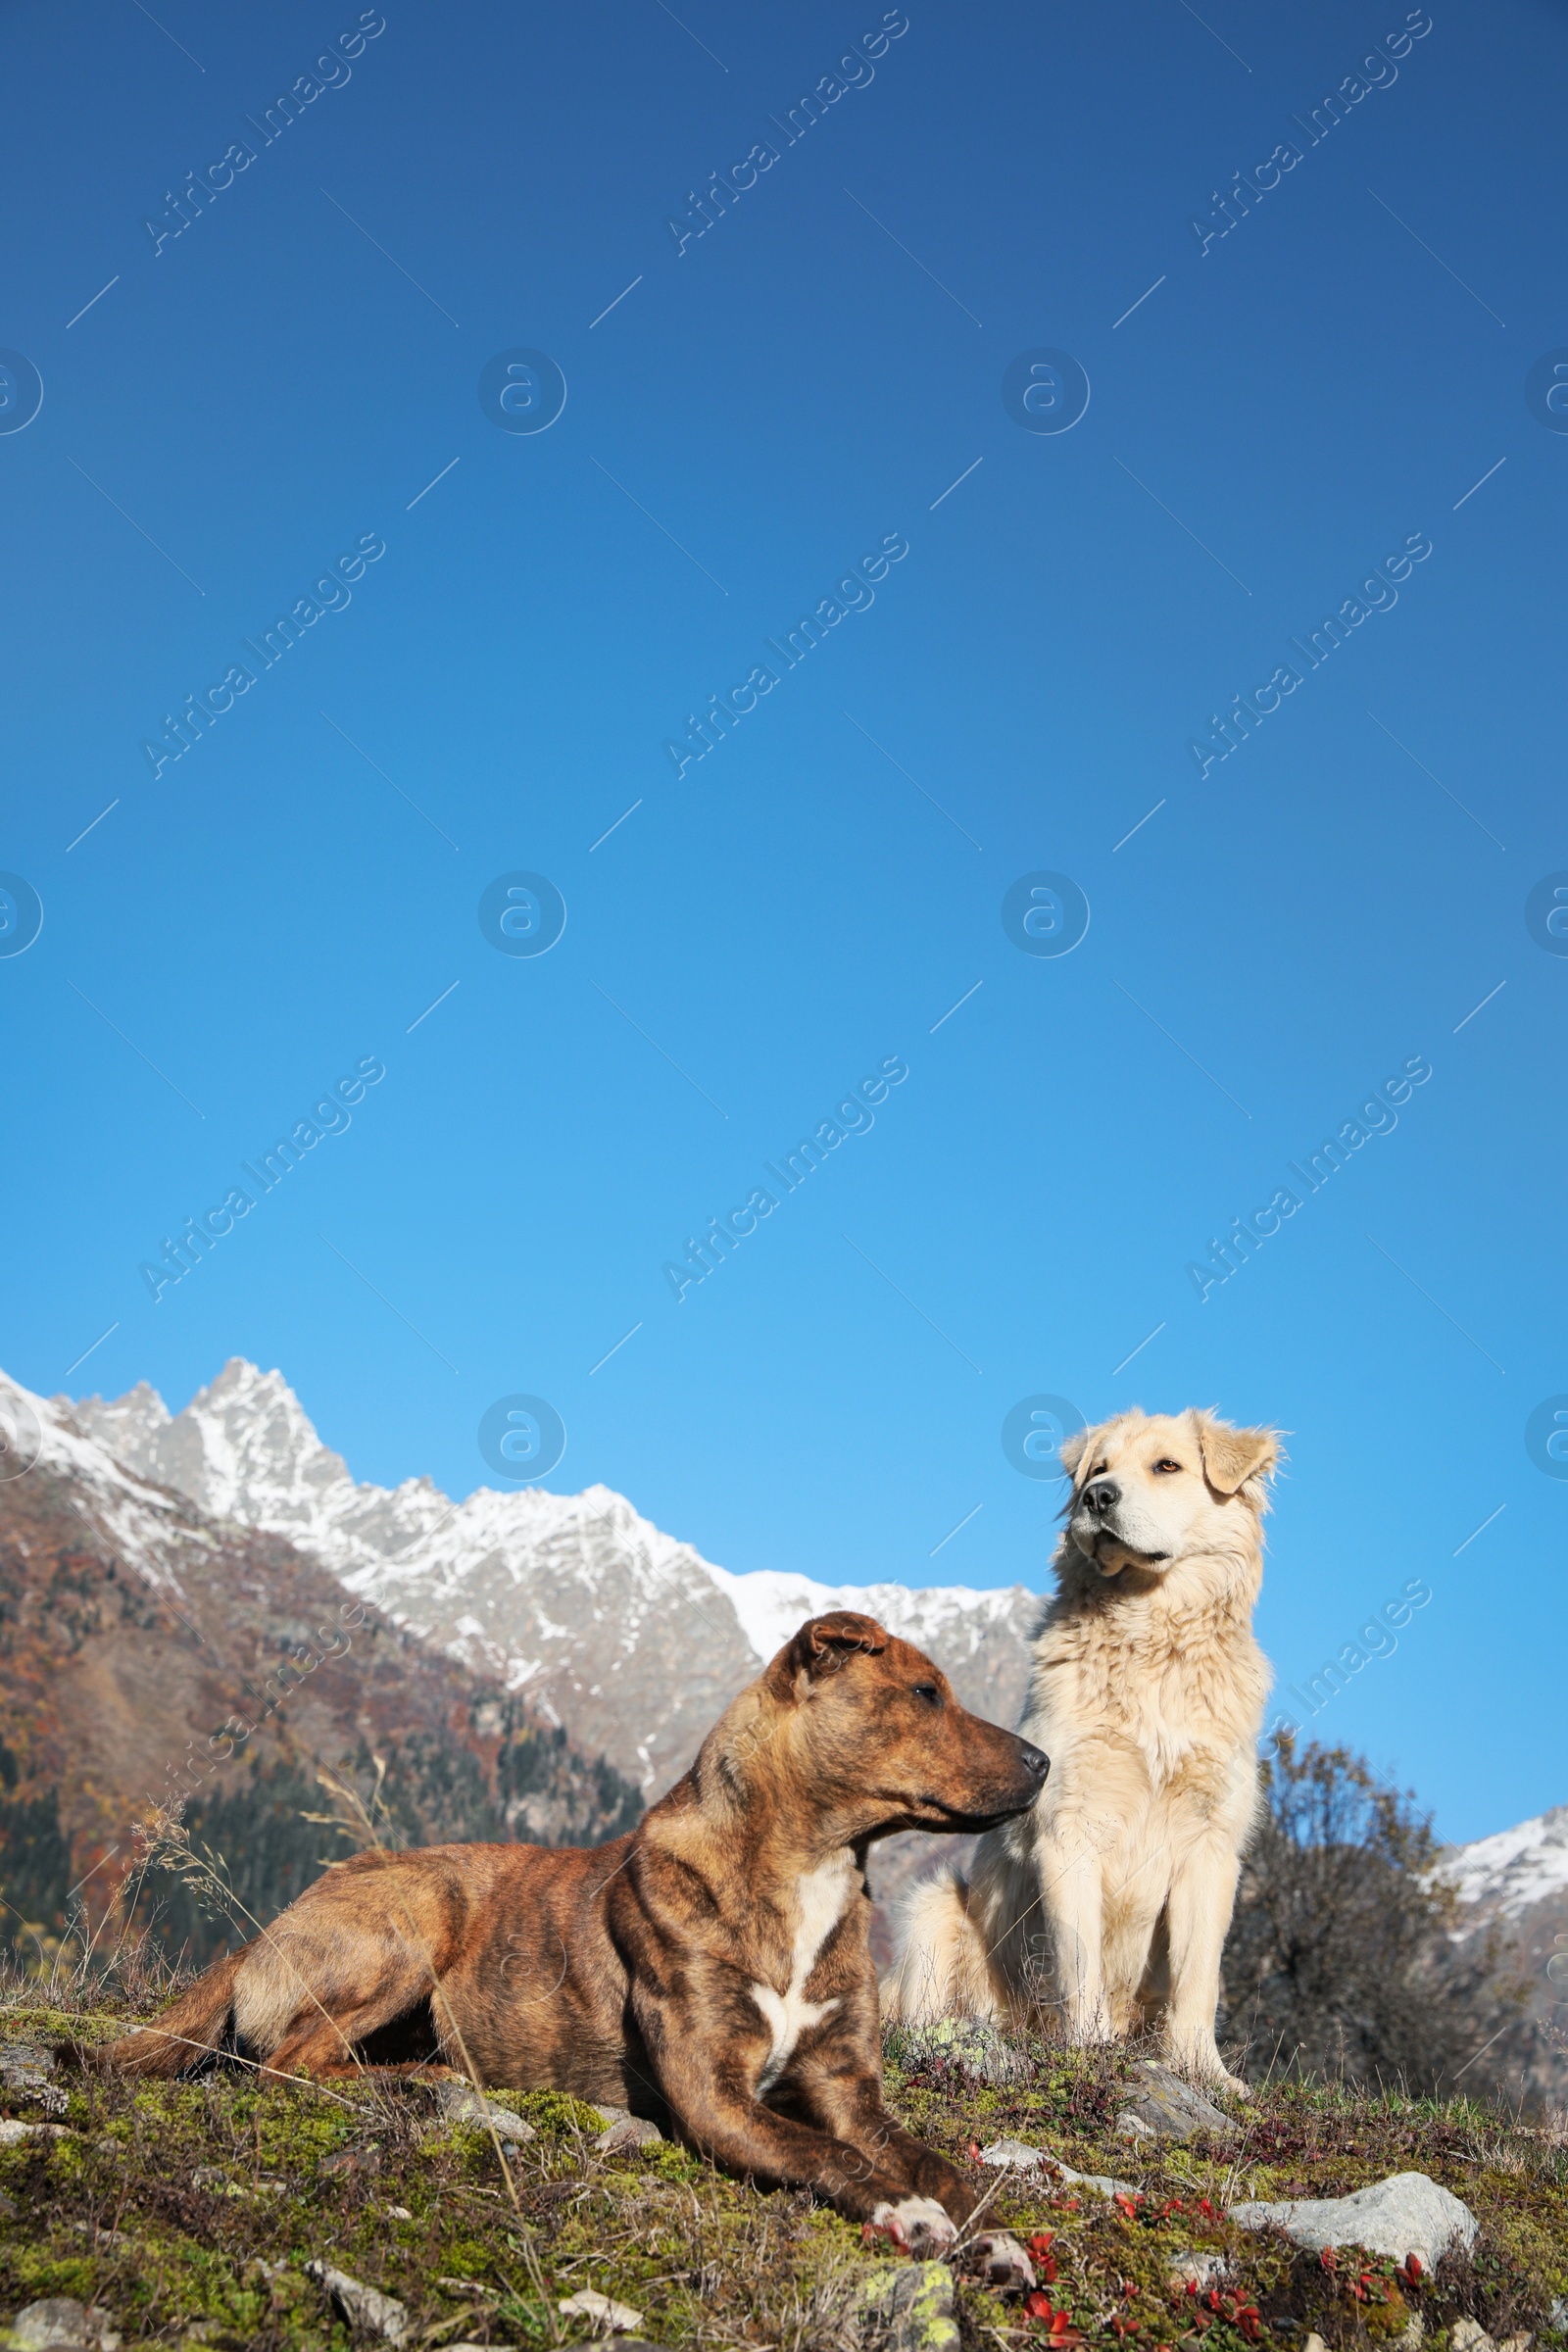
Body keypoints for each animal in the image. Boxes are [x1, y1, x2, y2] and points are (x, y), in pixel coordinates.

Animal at [104, 1618, 1048, 2258]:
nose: (1044, 1762)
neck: (805, 1869)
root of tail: (269, 1930)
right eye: (926, 1694)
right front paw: (908, 2213)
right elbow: (829, 2154)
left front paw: (993, 2235)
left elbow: (939, 2163)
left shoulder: (853, 2092)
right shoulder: (714, 2094)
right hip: (418, 1914)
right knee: (285, 2064)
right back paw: (422, 2079)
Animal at [888, 1401, 1278, 2088]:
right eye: (1099, 1469)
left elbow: (1198, 1979)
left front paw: (1204, 2073)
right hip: (933, 1907)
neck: (1153, 1638)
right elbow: (1080, 1961)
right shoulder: (1067, 1825)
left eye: (1167, 1466)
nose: (1098, 1497)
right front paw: (1090, 2048)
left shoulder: (1211, 1845)